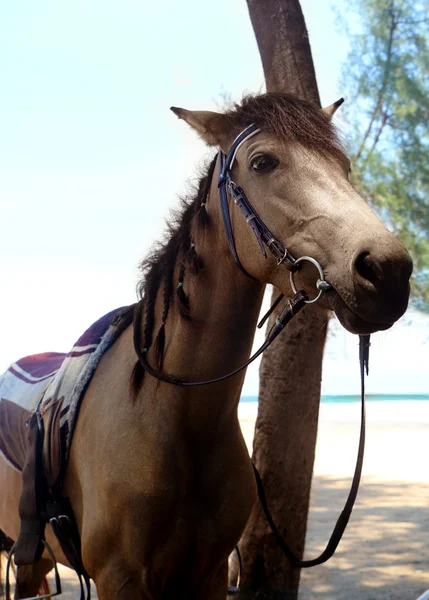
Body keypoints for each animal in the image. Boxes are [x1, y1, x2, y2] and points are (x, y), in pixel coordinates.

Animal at [0, 91, 412, 596]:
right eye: (262, 162)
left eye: (345, 167)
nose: (388, 270)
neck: (173, 413)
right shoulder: (120, 579)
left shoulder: (209, 574)